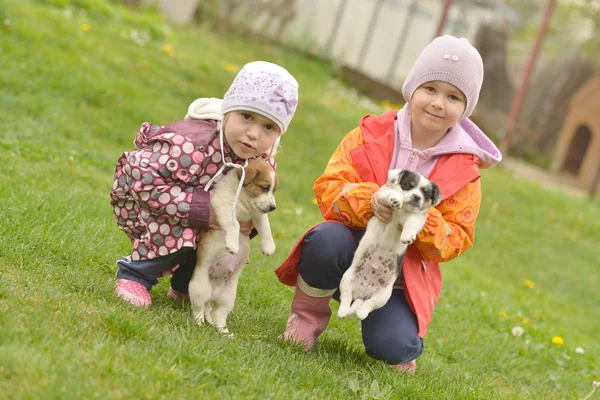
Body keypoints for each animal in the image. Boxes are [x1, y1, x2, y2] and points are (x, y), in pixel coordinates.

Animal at [189, 159, 278, 334]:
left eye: (273, 190)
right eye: (264, 187)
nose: (273, 208)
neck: (244, 204)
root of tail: (213, 293)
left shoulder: (257, 213)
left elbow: (265, 226)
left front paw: (268, 247)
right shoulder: (222, 205)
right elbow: (234, 224)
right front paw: (232, 245)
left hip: (228, 298)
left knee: (218, 314)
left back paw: (224, 332)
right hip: (198, 290)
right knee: (199, 309)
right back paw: (199, 323)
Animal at [338, 170, 440, 320]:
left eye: (425, 193)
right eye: (408, 185)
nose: (416, 197)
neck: (403, 211)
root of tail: (363, 291)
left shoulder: (417, 218)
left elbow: (411, 224)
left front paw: (407, 236)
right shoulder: (382, 194)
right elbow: (392, 193)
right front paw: (396, 199)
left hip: (383, 295)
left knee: (368, 303)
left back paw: (361, 313)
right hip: (347, 278)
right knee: (346, 296)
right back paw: (343, 311)